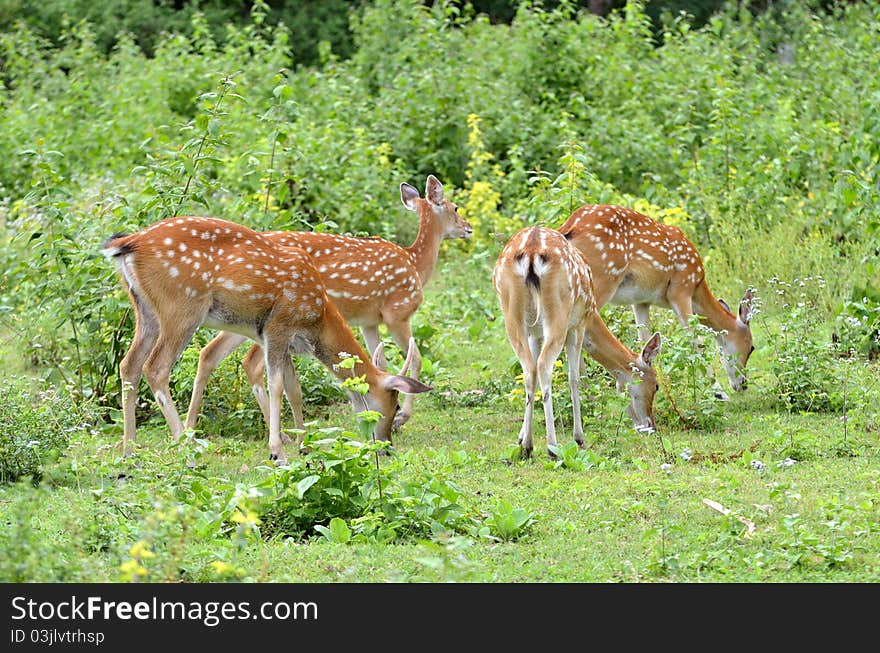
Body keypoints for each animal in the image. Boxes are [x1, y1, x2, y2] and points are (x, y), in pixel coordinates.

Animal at [101, 216, 432, 460]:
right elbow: (276, 385)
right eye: (391, 406)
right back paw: (186, 446)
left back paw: (129, 450)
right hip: (181, 306)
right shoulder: (279, 326)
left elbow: (294, 390)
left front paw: (304, 445)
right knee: (156, 367)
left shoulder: (286, 340)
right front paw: (277, 451)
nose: (386, 447)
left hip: (145, 312)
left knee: (129, 365)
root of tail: (126, 244)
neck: (317, 317)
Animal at [184, 176, 474, 436]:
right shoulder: (397, 312)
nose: (469, 228)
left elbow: (380, 361)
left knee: (211, 353)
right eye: (455, 208)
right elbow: (416, 358)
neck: (415, 264)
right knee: (251, 363)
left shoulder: (369, 322)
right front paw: (402, 417)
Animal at [496, 225, 660, 458]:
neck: (593, 317)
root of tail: (532, 252)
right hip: (559, 311)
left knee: (529, 369)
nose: (651, 426)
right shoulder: (578, 325)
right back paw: (552, 447)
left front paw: (521, 438)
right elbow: (575, 378)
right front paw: (579, 438)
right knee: (544, 366)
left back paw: (527, 447)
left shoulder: (535, 333)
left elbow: (534, 378)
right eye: (655, 386)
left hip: (512, 312)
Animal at [556, 204, 756, 398]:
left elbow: (644, 338)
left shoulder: (641, 300)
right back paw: (589, 394)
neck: (697, 287)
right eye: (751, 347)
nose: (743, 385)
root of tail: (568, 228)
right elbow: (695, 340)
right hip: (601, 279)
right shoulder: (680, 288)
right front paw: (718, 392)